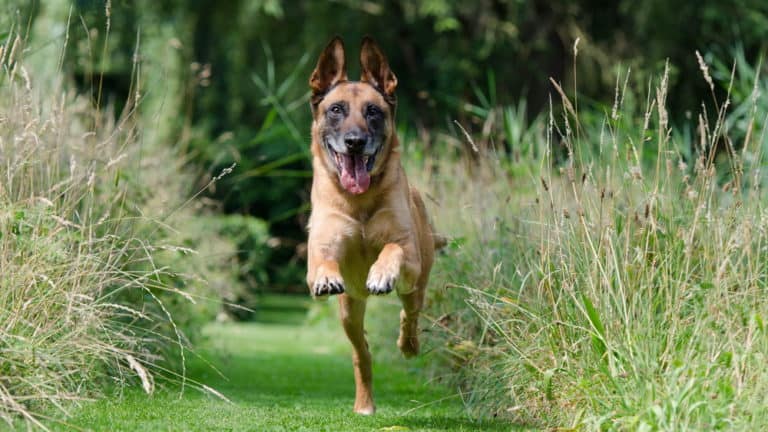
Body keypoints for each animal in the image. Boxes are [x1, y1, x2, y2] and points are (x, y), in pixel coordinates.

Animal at [304, 38, 440, 416]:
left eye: (373, 112)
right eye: (336, 109)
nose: (354, 141)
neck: (359, 201)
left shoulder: (407, 253)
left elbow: (393, 248)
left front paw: (380, 273)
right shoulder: (322, 246)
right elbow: (322, 261)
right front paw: (326, 276)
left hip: (416, 285)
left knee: (410, 315)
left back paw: (408, 344)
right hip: (349, 310)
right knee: (361, 352)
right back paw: (364, 402)